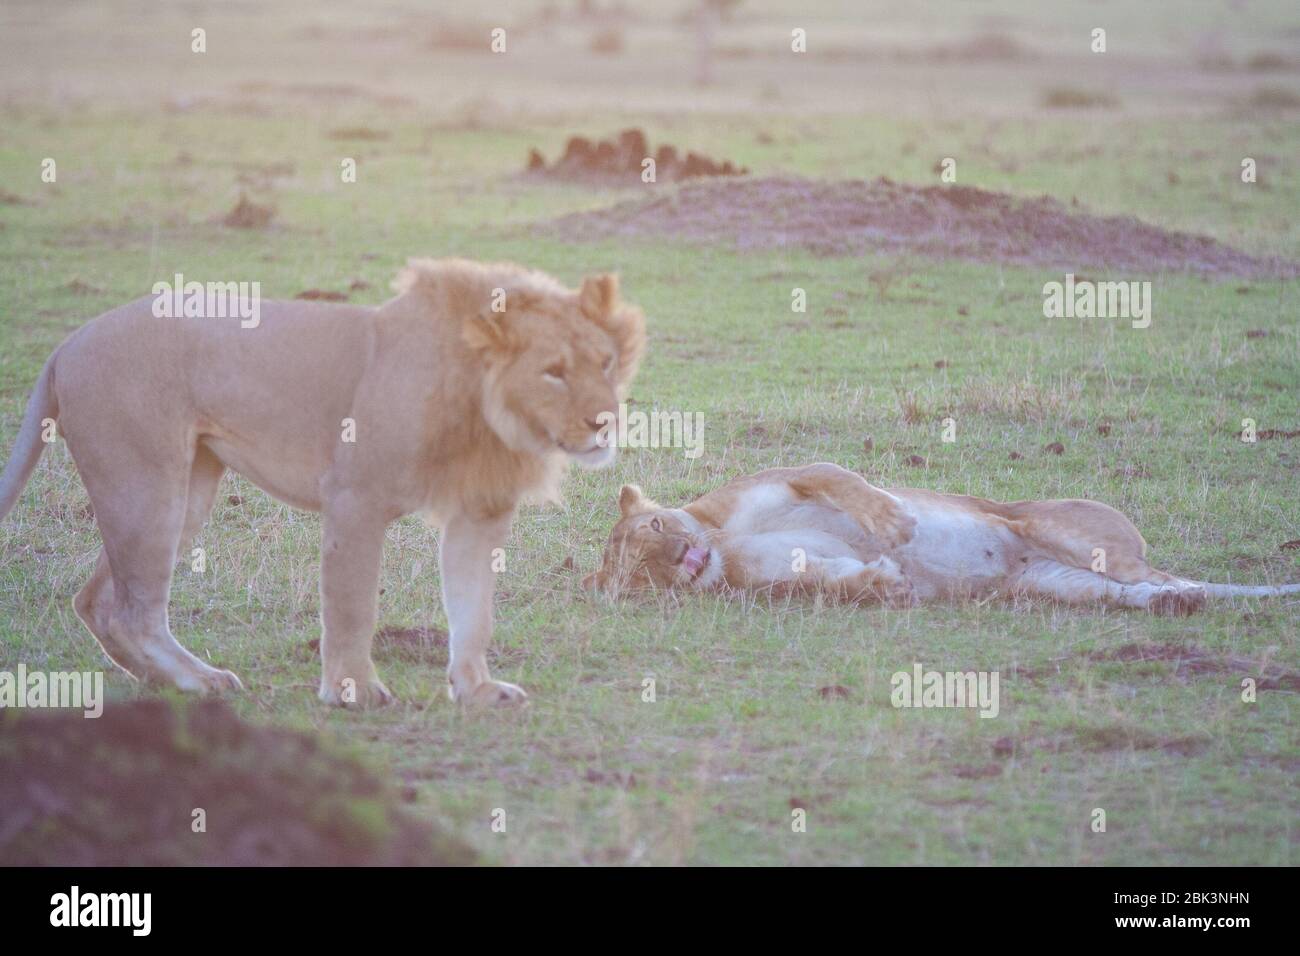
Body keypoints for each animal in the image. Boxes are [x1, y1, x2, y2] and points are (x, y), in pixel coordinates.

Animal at [0, 258, 645, 706]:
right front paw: (352, 690)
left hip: (187, 486)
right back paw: (196, 680)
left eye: (605, 362)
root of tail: (66, 344)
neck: (482, 396)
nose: (605, 420)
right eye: (553, 372)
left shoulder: (477, 514)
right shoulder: (354, 497)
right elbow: (353, 605)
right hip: (146, 484)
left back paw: (169, 682)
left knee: (97, 600)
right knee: (131, 609)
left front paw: (477, 690)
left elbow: (474, 612)